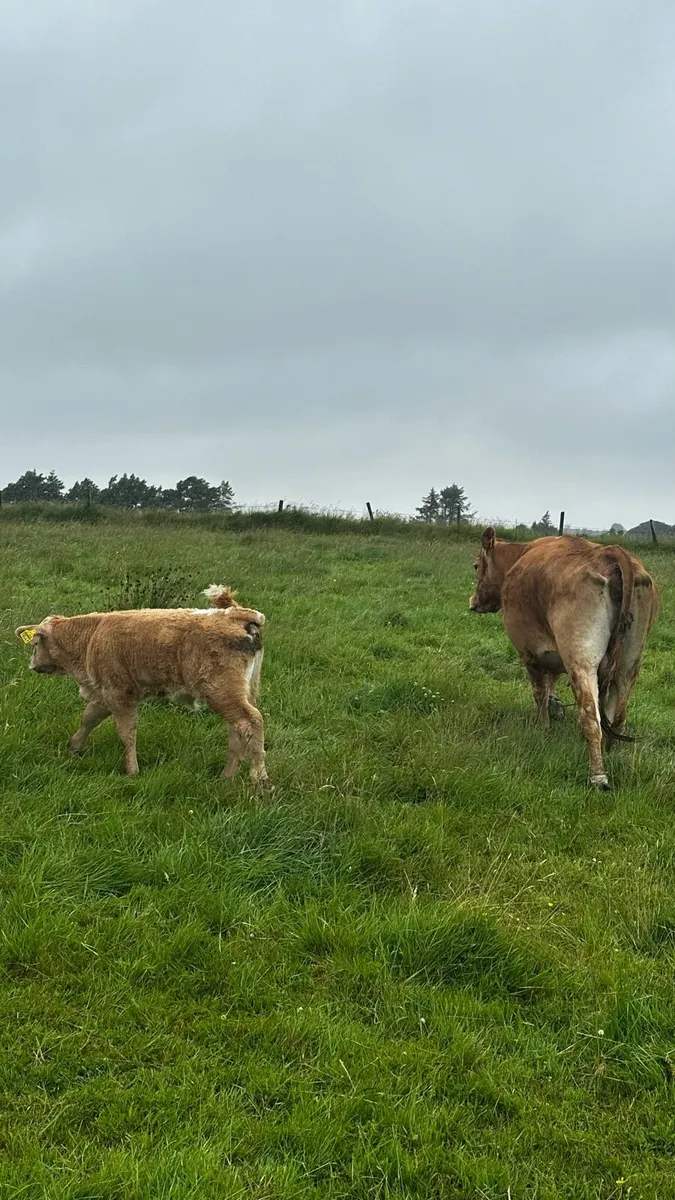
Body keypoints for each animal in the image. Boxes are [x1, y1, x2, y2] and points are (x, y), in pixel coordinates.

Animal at [16, 584, 271, 789]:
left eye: (35, 644)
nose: (32, 665)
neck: (92, 635)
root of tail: (233, 614)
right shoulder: (104, 694)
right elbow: (88, 718)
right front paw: (73, 748)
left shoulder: (119, 694)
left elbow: (126, 732)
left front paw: (132, 771)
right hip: (239, 694)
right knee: (238, 731)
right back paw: (226, 778)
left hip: (222, 693)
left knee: (250, 722)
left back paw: (259, 779)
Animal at [469, 528, 658, 788]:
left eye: (476, 566)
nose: (473, 602)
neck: (519, 557)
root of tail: (611, 552)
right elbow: (551, 685)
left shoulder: (531, 655)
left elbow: (540, 694)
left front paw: (543, 729)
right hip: (629, 663)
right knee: (616, 715)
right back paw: (609, 754)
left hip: (581, 660)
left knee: (590, 716)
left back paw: (598, 776)